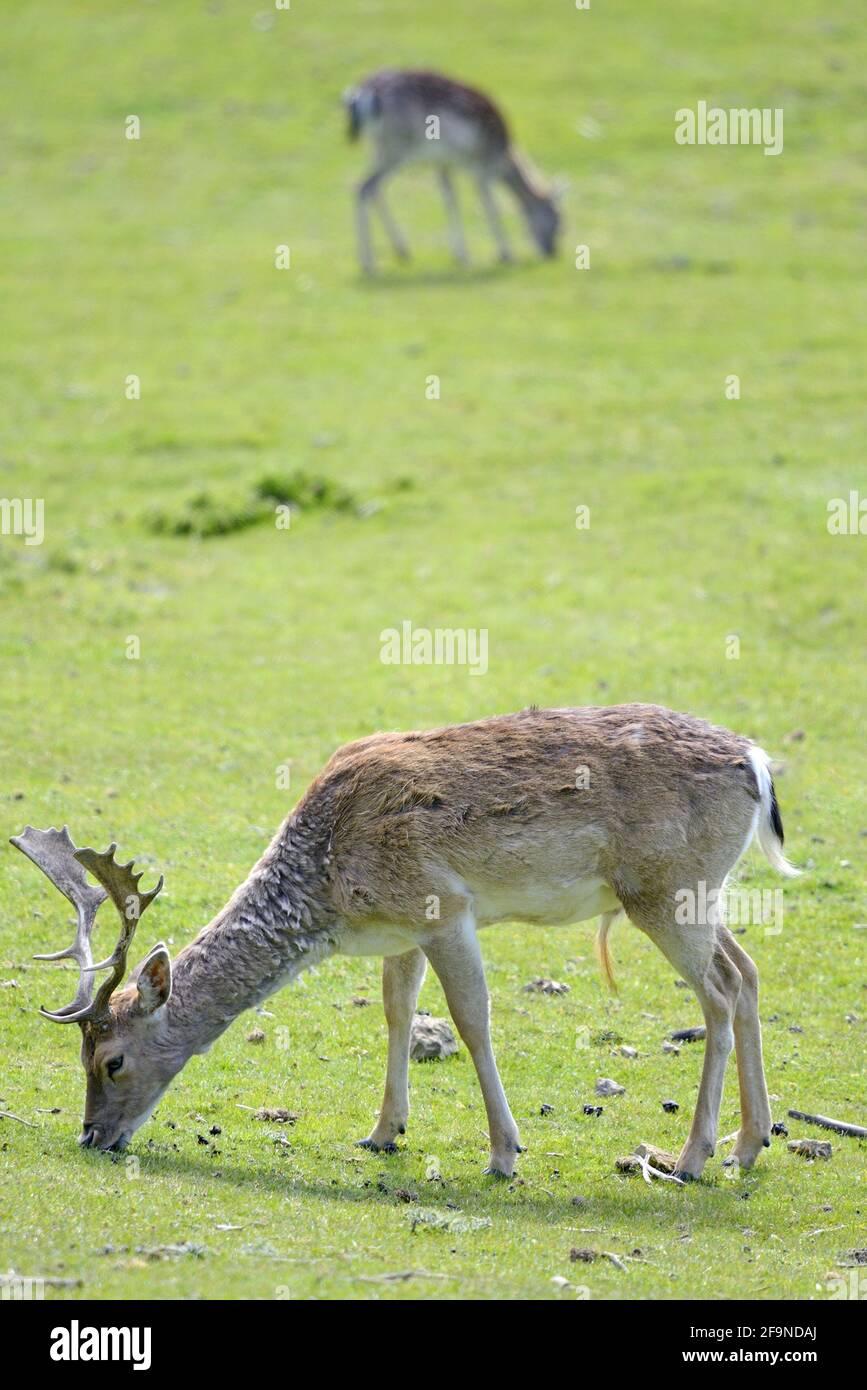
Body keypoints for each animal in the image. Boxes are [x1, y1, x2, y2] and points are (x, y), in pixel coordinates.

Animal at [11, 704, 797, 1181]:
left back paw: (690, 1157)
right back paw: (750, 1143)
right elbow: (395, 1012)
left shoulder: (444, 907)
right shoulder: (399, 929)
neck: (327, 883)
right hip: (696, 893)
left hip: (664, 891)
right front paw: (383, 1131)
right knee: (750, 972)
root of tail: (757, 765)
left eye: (111, 1060)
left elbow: (473, 1021)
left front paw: (504, 1153)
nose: (91, 1136)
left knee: (719, 993)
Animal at [343, 68, 561, 272]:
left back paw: (401, 250)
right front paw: (506, 255)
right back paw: (369, 265)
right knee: (364, 187)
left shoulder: (443, 164)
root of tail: (362, 93)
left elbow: (450, 199)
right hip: (396, 148)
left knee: (369, 187)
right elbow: (491, 208)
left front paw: (461, 255)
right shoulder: (482, 169)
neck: (503, 159)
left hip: (377, 147)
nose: (551, 253)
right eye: (558, 220)